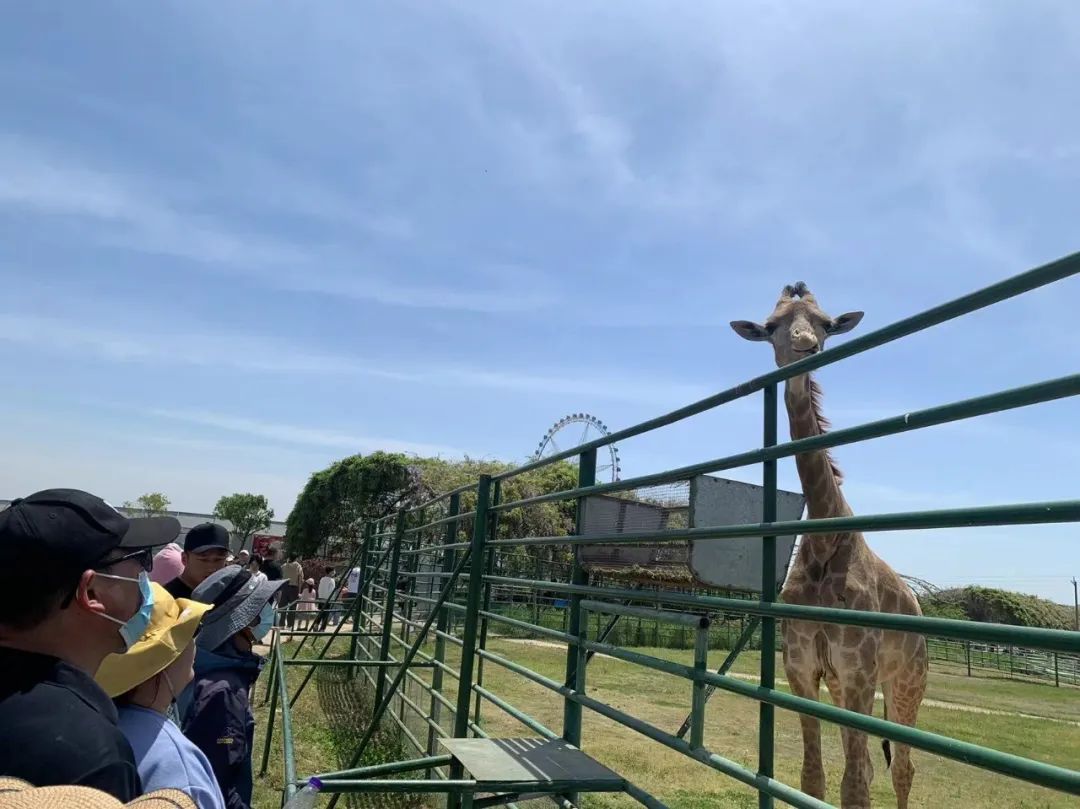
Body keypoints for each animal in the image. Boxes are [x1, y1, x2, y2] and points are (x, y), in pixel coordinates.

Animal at [730, 282, 928, 809]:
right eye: (772, 325)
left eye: (823, 322)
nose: (805, 345)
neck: (822, 538)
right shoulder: (803, 669)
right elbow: (813, 778)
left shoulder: (859, 672)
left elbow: (854, 786)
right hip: (847, 685)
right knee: (878, 766)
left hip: (907, 681)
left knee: (903, 768)